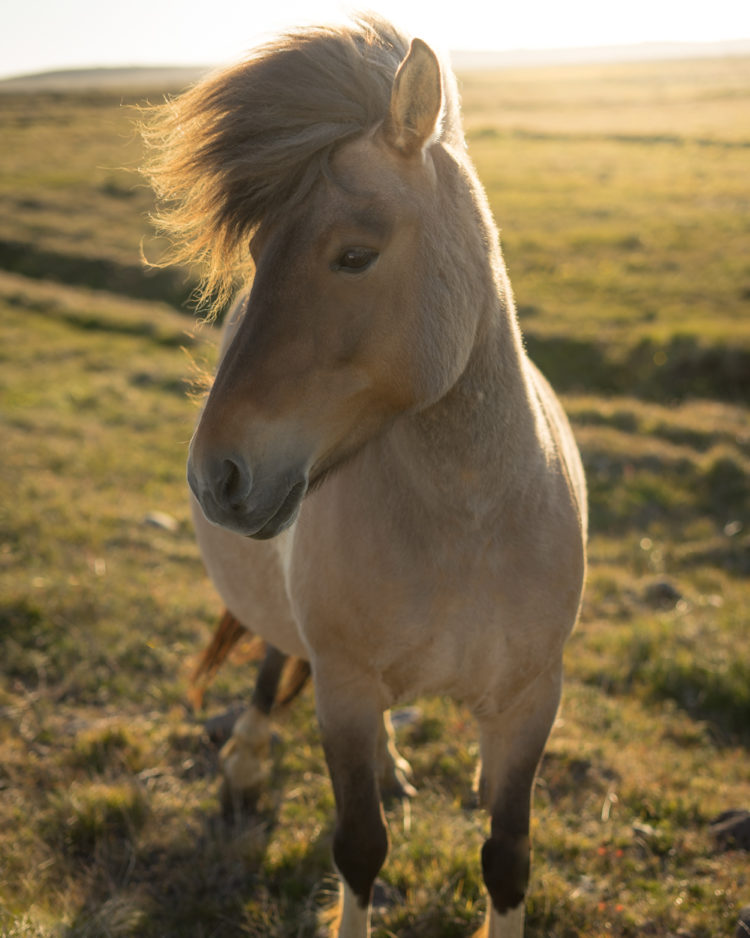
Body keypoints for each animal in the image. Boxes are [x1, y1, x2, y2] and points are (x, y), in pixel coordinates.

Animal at [143, 15, 587, 937]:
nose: (216, 474)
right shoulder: (343, 690)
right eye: (256, 253)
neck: (469, 521)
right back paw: (247, 764)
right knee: (274, 663)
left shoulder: (531, 702)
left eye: (354, 255)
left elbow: (508, 856)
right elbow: (359, 847)